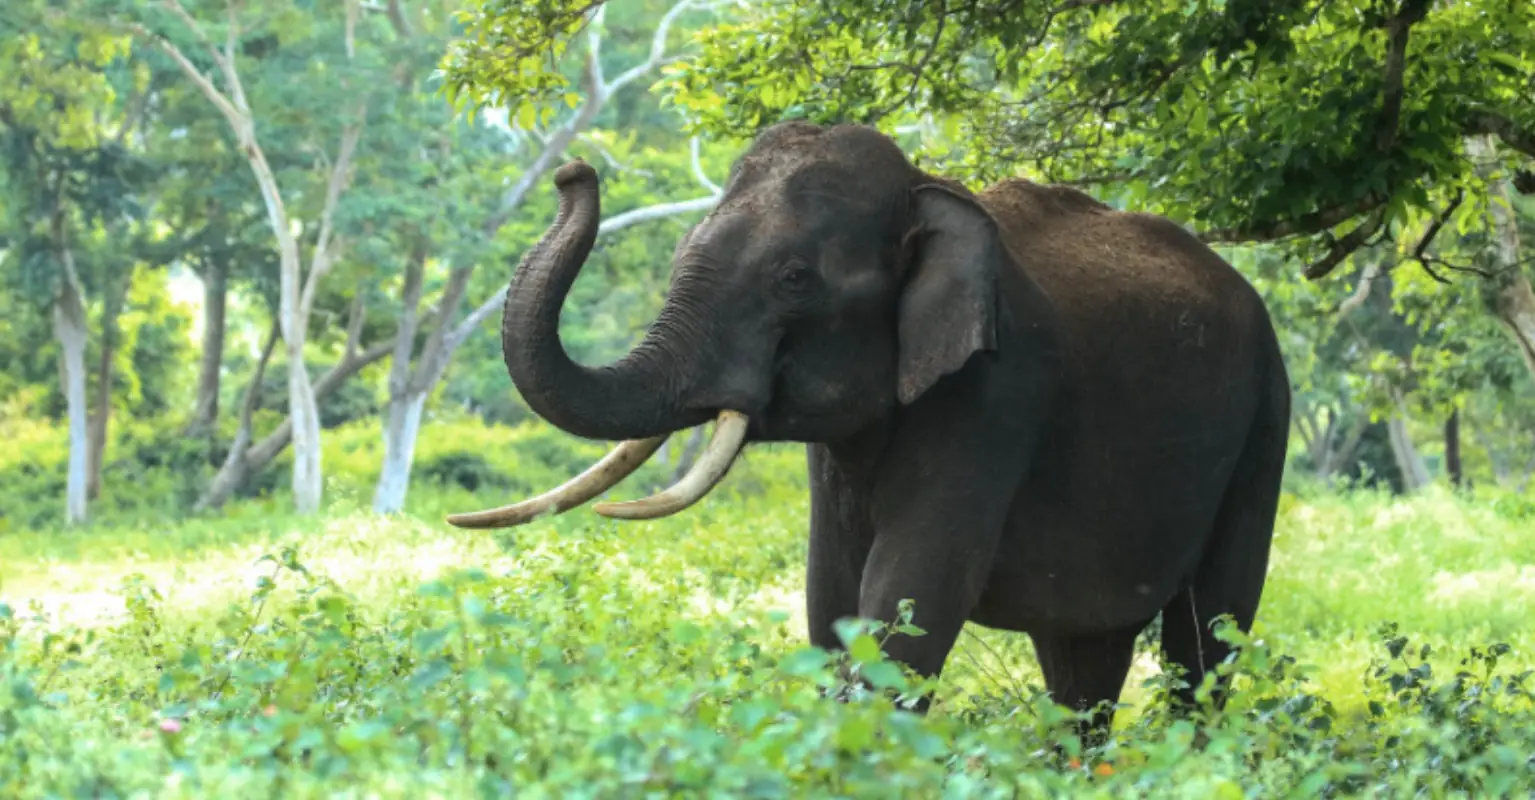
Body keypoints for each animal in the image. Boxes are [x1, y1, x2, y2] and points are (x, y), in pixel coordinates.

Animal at [448, 121, 1291, 743]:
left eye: (793, 279)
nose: (572, 172)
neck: (925, 190)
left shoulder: (995, 395)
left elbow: (908, 601)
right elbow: (832, 598)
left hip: (1264, 420)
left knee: (1205, 637)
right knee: (1081, 659)